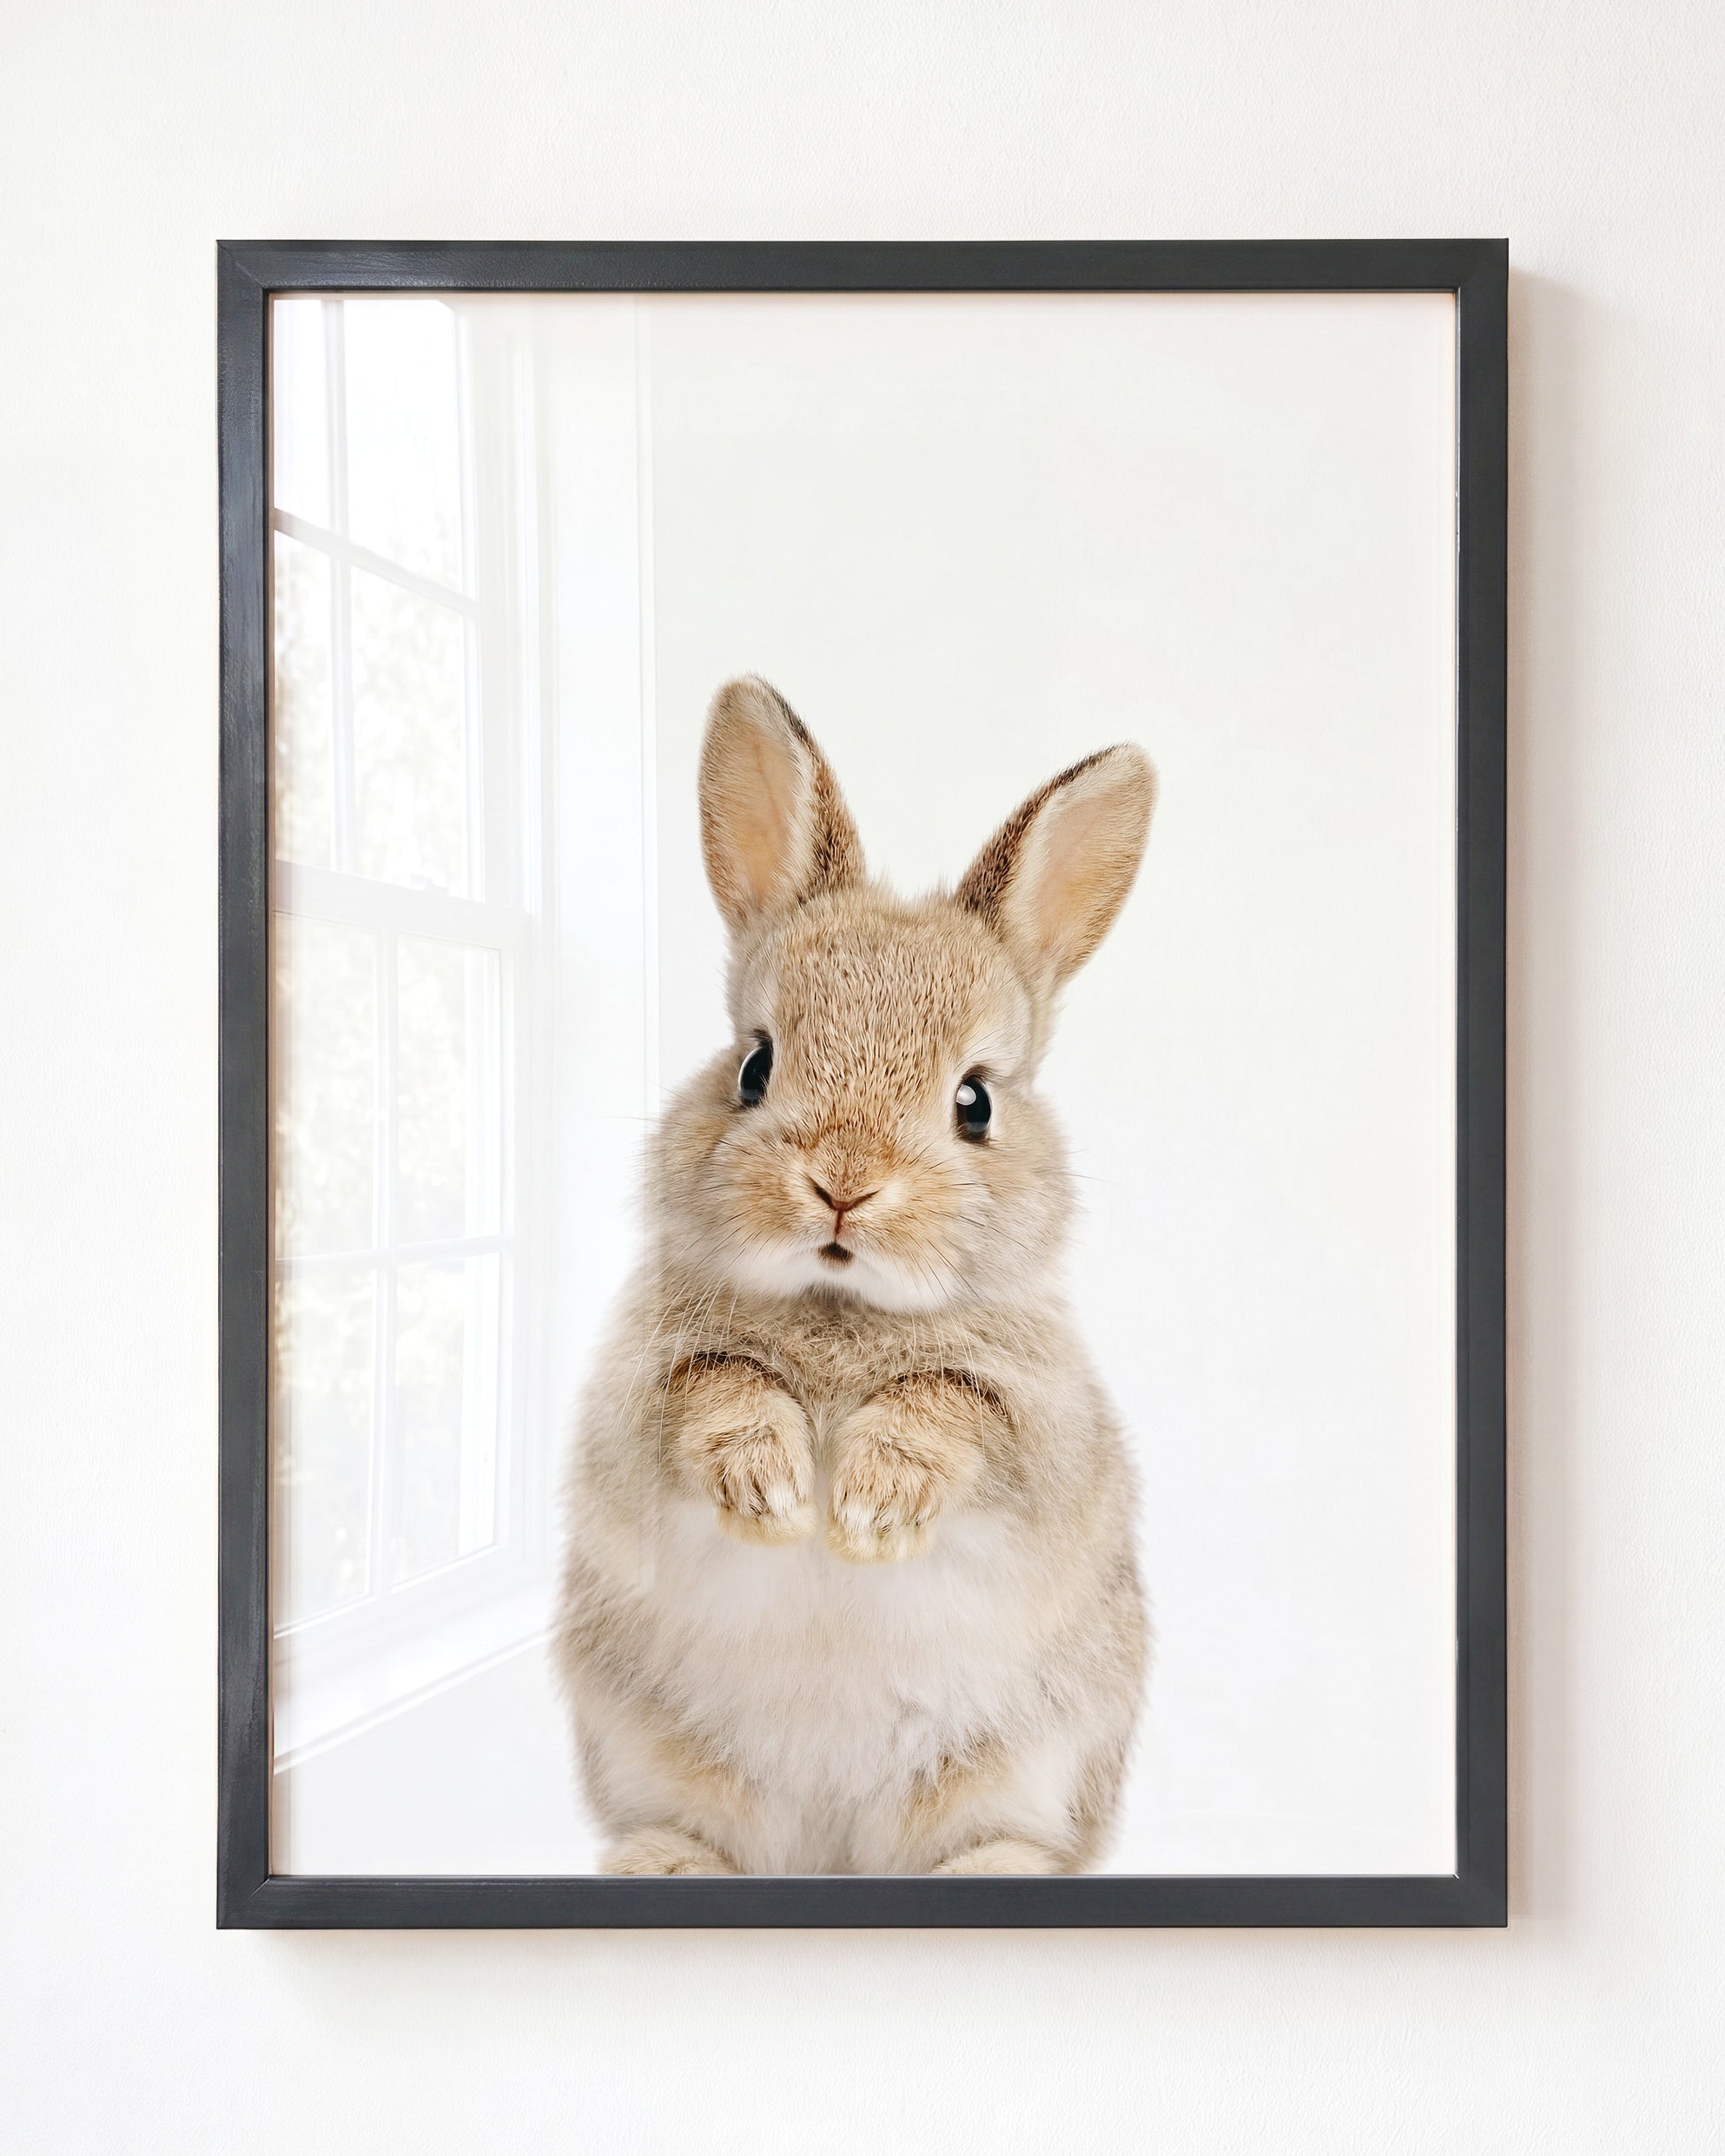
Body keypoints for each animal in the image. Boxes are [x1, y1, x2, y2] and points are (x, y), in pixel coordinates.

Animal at [553, 676, 1155, 1876]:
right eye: (754, 1064)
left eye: (975, 1100)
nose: (843, 1185)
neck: (842, 1308)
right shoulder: (638, 1399)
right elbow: (717, 1386)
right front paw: (777, 1493)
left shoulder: (1043, 1430)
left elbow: (951, 1407)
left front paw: (868, 1508)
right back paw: (665, 1865)